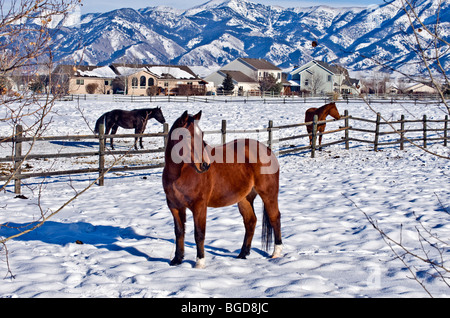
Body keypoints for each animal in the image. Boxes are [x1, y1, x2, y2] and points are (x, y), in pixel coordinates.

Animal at [162, 111, 282, 268]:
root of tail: (267, 149)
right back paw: (242, 254)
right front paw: (177, 259)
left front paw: (199, 263)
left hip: (268, 194)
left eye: (202, 135)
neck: (180, 173)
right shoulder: (175, 207)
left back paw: (276, 253)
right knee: (250, 221)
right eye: (187, 136)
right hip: (244, 199)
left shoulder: (199, 206)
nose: (205, 165)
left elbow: (199, 234)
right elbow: (179, 232)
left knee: (275, 218)